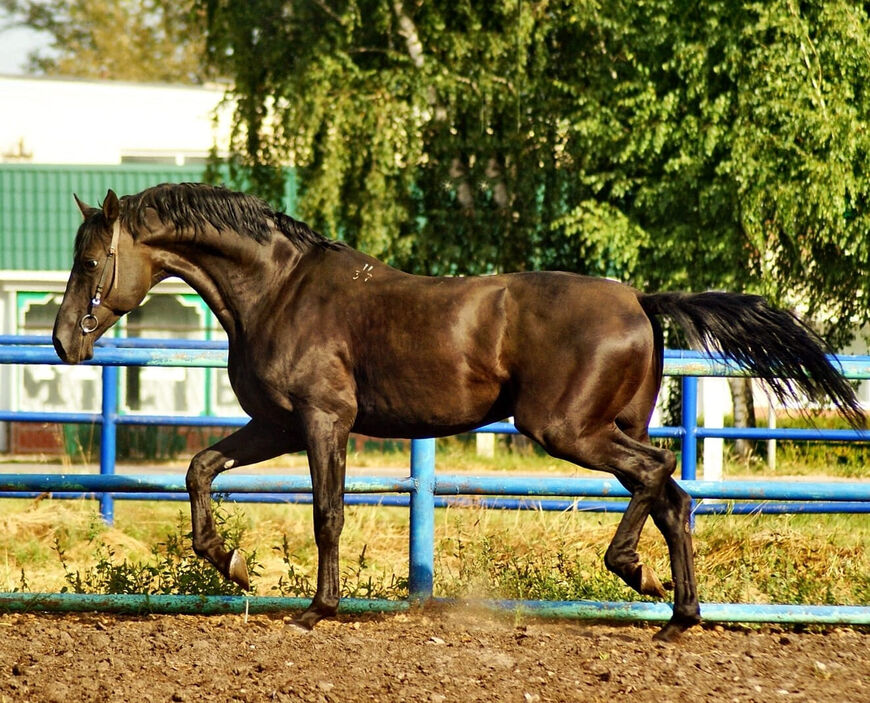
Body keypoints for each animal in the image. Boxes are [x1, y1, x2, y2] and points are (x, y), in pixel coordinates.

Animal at [54, 183, 864, 644]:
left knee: (656, 475)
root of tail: (640, 297)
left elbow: (327, 514)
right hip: (608, 427)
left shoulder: (321, 422)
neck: (279, 290)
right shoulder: (277, 425)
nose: (64, 341)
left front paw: (318, 609)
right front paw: (231, 562)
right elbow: (200, 468)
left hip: (567, 429)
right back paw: (676, 616)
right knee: (671, 496)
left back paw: (633, 572)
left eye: (91, 261)